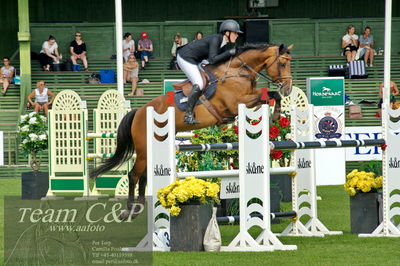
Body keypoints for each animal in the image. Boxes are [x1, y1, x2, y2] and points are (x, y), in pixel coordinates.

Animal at [90, 43, 292, 218]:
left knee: (144, 176)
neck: (237, 72)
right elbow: (268, 95)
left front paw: (275, 115)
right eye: (282, 64)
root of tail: (139, 111)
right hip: (143, 149)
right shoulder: (237, 103)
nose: (289, 89)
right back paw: (129, 211)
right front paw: (274, 115)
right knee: (134, 175)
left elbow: (271, 94)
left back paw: (139, 206)